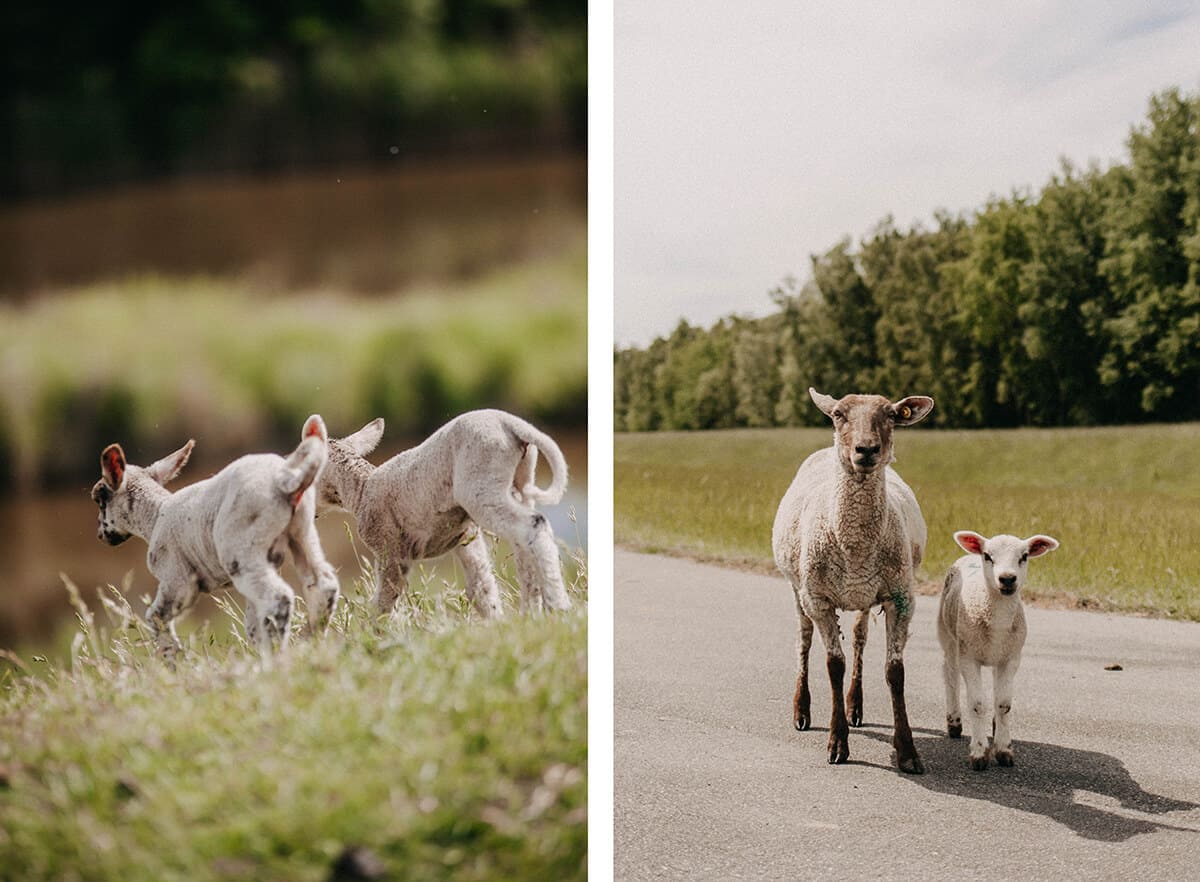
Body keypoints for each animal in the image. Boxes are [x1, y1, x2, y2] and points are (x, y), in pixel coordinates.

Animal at [89, 417, 338, 657]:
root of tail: (284, 480)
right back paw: (309, 643)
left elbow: (157, 618)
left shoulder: (177, 580)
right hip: (301, 533)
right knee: (322, 586)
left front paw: (174, 662)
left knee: (279, 599)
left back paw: (279, 658)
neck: (155, 515)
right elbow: (253, 627)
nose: (100, 535)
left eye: (98, 499)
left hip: (240, 551)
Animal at [319, 410, 571, 619]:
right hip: (519, 482)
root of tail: (511, 424)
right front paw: (496, 622)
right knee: (523, 546)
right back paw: (531, 614)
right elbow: (481, 587)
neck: (361, 489)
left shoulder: (390, 549)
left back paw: (559, 606)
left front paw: (377, 636)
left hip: (481, 487)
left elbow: (385, 601)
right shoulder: (465, 537)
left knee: (535, 525)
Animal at [772, 388, 931, 777]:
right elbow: (834, 666)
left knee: (859, 640)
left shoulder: (900, 597)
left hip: (862, 596)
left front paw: (907, 752)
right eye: (839, 415)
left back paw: (854, 706)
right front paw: (837, 743)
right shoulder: (819, 599)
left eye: (890, 415)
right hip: (799, 591)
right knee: (803, 641)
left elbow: (895, 671)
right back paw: (802, 710)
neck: (855, 544)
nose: (866, 449)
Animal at [936, 530, 1060, 772]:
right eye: (988, 556)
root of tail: (968, 556)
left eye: (1024, 556)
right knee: (950, 674)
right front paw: (979, 753)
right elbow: (977, 705)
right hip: (948, 635)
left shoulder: (1011, 658)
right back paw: (954, 722)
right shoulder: (969, 658)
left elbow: (1003, 704)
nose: (1007, 578)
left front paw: (1003, 749)